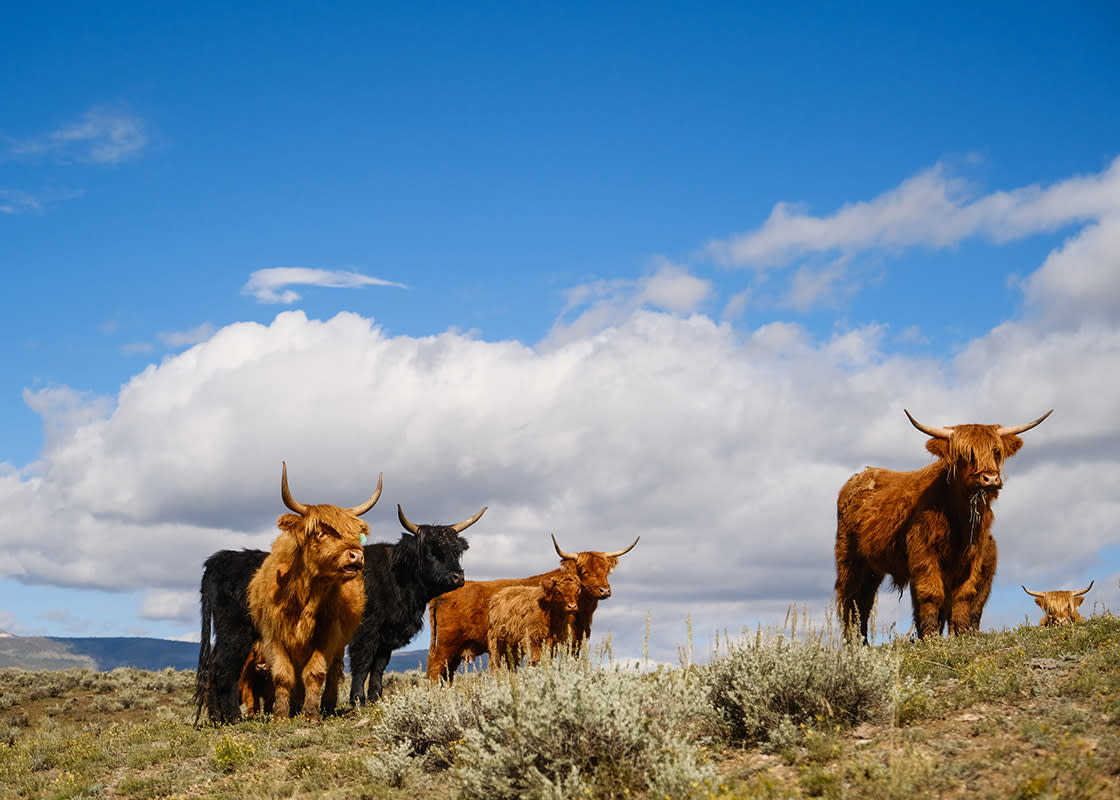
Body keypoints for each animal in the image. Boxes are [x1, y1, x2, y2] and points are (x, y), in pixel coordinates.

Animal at [247, 461, 383, 717]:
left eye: (355, 534)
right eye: (320, 532)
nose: (356, 555)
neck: (304, 595)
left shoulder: (329, 634)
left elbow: (315, 672)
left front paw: (311, 713)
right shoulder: (273, 634)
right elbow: (283, 674)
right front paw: (281, 714)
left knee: (334, 669)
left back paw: (326, 705)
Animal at [427, 535, 640, 681]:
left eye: (606, 570)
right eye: (585, 571)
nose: (605, 590)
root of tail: (442, 594)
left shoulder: (573, 643)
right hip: (447, 643)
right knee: (434, 671)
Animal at [837, 407, 1052, 640]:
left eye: (996, 452)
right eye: (966, 454)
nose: (990, 478)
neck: (959, 518)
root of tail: (860, 475)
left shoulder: (972, 558)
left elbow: (963, 596)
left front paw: (961, 634)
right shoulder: (924, 553)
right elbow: (931, 594)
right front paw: (930, 637)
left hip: (872, 566)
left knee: (864, 600)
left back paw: (862, 642)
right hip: (849, 559)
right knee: (851, 600)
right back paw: (853, 642)